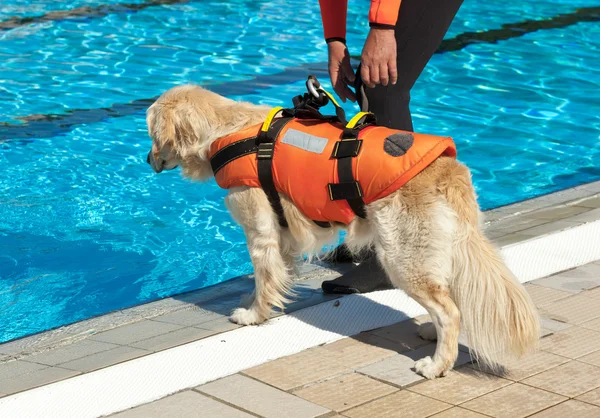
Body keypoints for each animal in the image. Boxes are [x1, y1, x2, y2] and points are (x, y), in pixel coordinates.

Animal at [145, 84, 540, 378]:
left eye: (152, 135)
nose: (147, 159)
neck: (226, 130)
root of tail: (448, 170)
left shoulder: (261, 232)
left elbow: (263, 276)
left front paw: (253, 315)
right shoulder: (284, 235)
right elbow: (277, 275)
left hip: (403, 257)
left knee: (450, 311)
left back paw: (436, 365)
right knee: (450, 301)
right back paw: (434, 334)